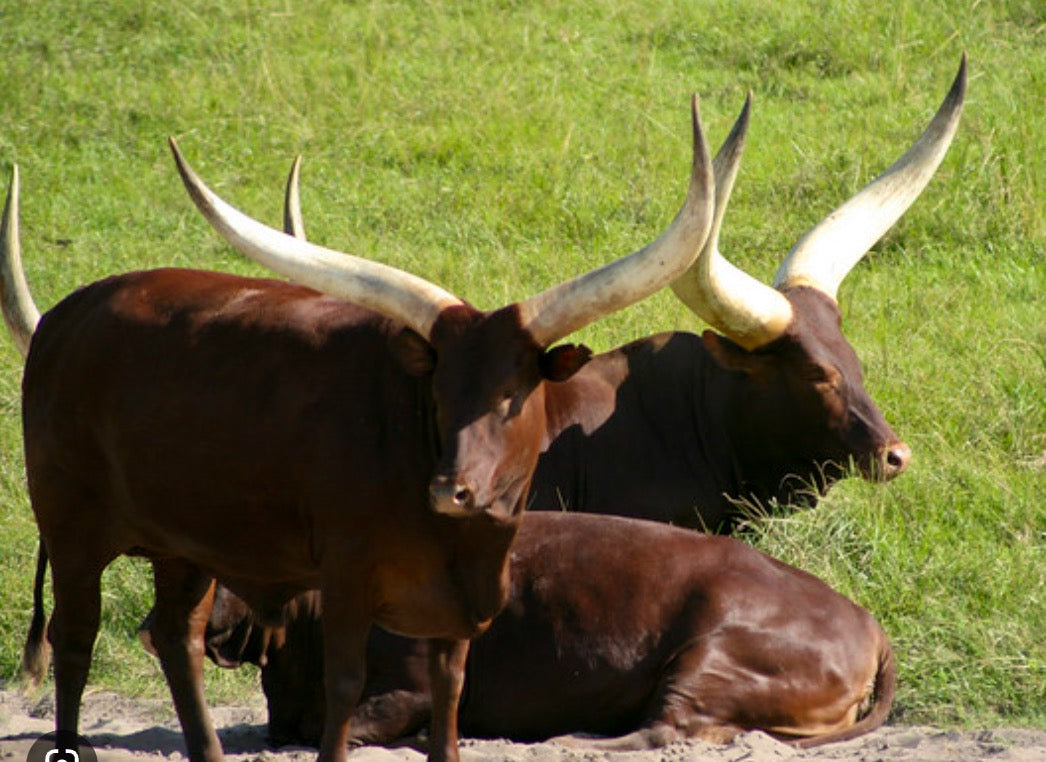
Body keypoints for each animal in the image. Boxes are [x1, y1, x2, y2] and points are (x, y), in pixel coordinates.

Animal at [0, 96, 715, 762]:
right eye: (440, 393)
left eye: (511, 395)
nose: (450, 490)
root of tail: (63, 318)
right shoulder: (346, 575)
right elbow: (343, 683)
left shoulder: (457, 607)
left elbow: (451, 689)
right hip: (71, 527)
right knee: (74, 640)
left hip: (185, 542)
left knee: (178, 637)